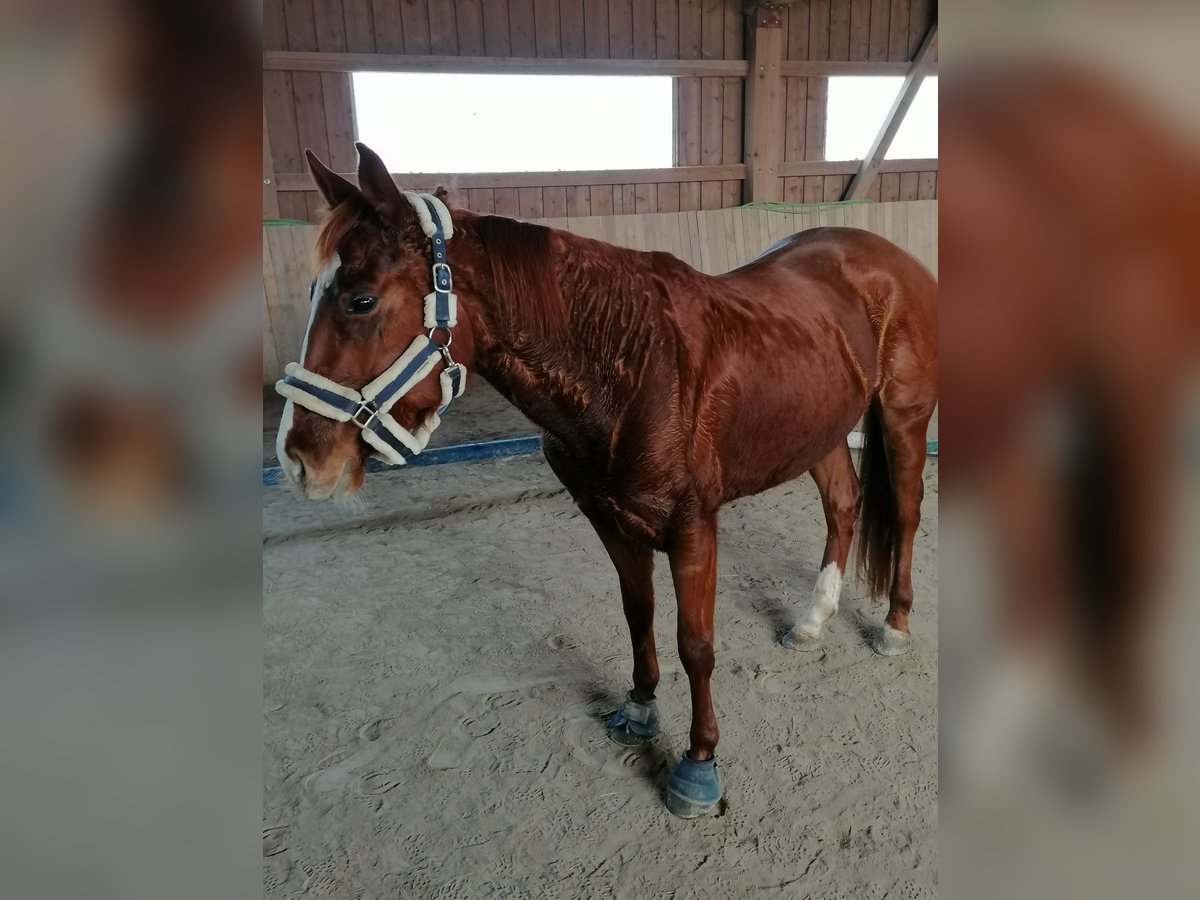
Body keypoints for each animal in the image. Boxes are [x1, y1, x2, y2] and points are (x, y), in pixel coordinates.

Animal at [278, 144, 936, 820]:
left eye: (360, 301)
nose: (301, 461)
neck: (633, 364)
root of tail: (886, 259)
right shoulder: (610, 517)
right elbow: (638, 614)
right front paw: (640, 710)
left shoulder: (694, 526)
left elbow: (696, 644)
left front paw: (699, 765)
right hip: (821, 429)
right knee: (844, 507)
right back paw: (812, 622)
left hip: (905, 415)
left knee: (906, 513)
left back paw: (894, 626)